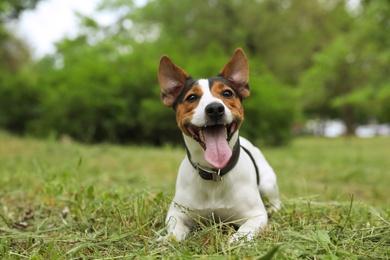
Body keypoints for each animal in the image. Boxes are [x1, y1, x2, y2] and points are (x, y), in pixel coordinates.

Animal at [158, 47, 280, 243]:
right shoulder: (176, 213)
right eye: (192, 97)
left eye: (227, 93)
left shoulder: (256, 215)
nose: (215, 108)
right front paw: (169, 238)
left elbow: (246, 229)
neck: (215, 172)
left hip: (268, 184)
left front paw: (236, 240)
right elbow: (176, 230)